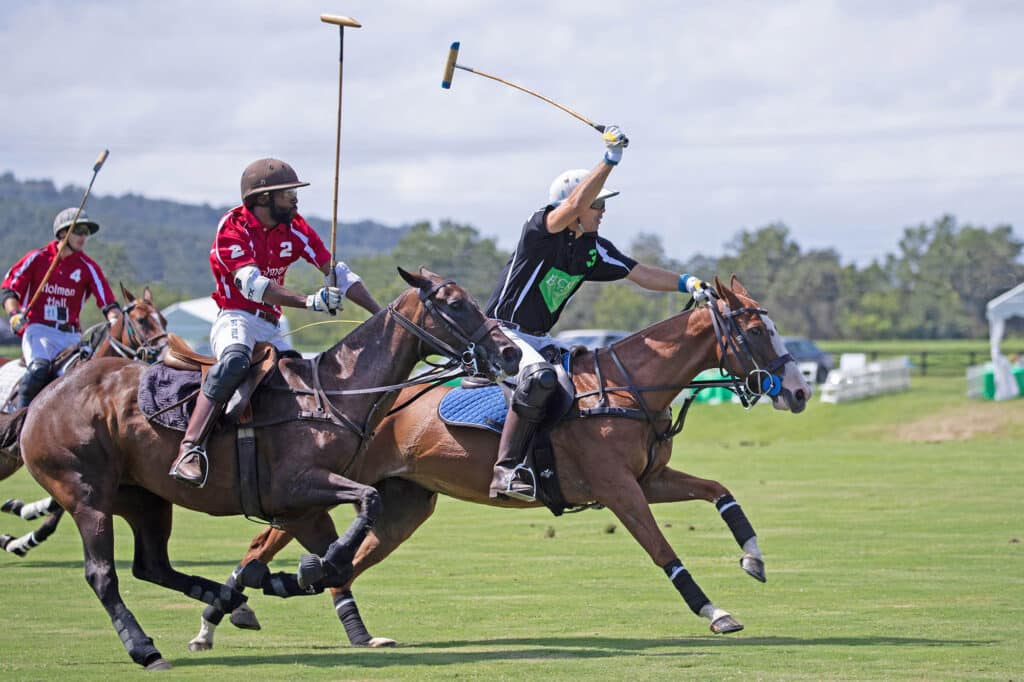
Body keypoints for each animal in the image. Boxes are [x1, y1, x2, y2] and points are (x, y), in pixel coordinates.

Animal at [0, 284, 167, 557]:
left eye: (163, 319)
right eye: (142, 320)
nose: (166, 351)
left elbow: (55, 512)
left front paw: (23, 523)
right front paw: (22, 530)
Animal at [186, 274, 806, 651]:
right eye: (756, 329)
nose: (799, 393)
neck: (628, 386)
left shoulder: (649, 478)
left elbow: (720, 489)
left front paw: (754, 558)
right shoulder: (618, 488)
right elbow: (662, 550)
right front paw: (715, 612)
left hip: (406, 503)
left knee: (343, 559)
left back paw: (282, 590)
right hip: (320, 482)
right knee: (268, 539)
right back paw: (221, 615)